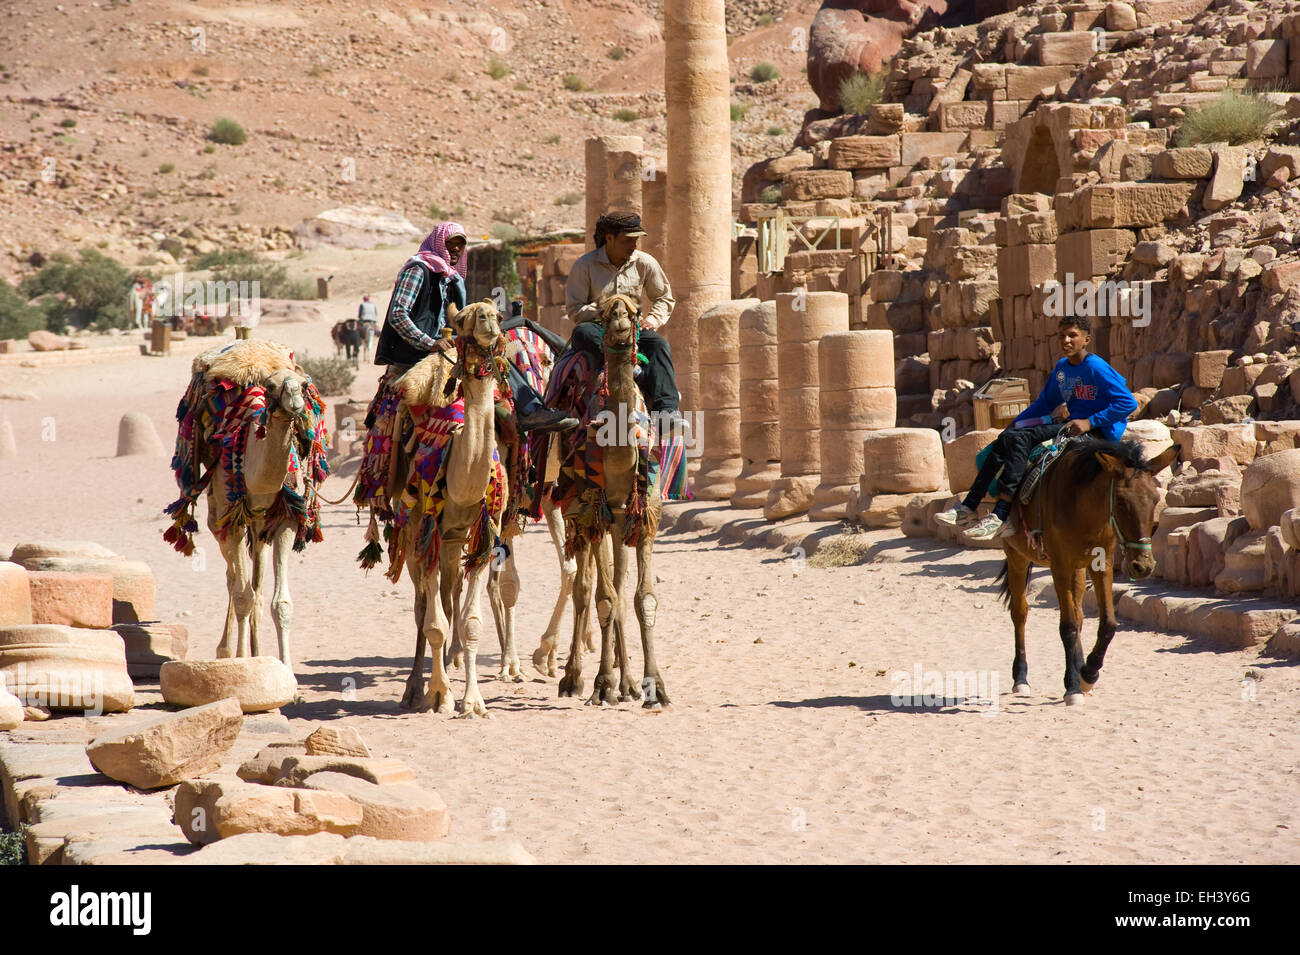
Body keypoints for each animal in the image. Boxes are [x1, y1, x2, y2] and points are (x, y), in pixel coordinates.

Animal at [553, 294, 670, 706]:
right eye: (604, 312)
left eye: (634, 311)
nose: (619, 316)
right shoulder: (596, 513)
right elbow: (605, 597)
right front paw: (602, 684)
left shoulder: (645, 514)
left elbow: (642, 598)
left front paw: (654, 686)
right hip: (579, 512)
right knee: (587, 588)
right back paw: (576, 678)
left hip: (621, 522)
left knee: (617, 586)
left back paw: (628, 681)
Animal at [993, 436, 1180, 706]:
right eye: (1121, 501)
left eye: (1155, 500)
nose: (1143, 566)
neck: (1081, 505)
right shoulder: (1059, 566)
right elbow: (1068, 627)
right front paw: (1072, 686)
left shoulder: (1100, 565)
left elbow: (1107, 624)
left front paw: (1089, 673)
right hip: (1017, 557)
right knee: (1020, 613)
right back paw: (1021, 678)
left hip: (1078, 570)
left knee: (1079, 614)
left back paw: (1080, 669)